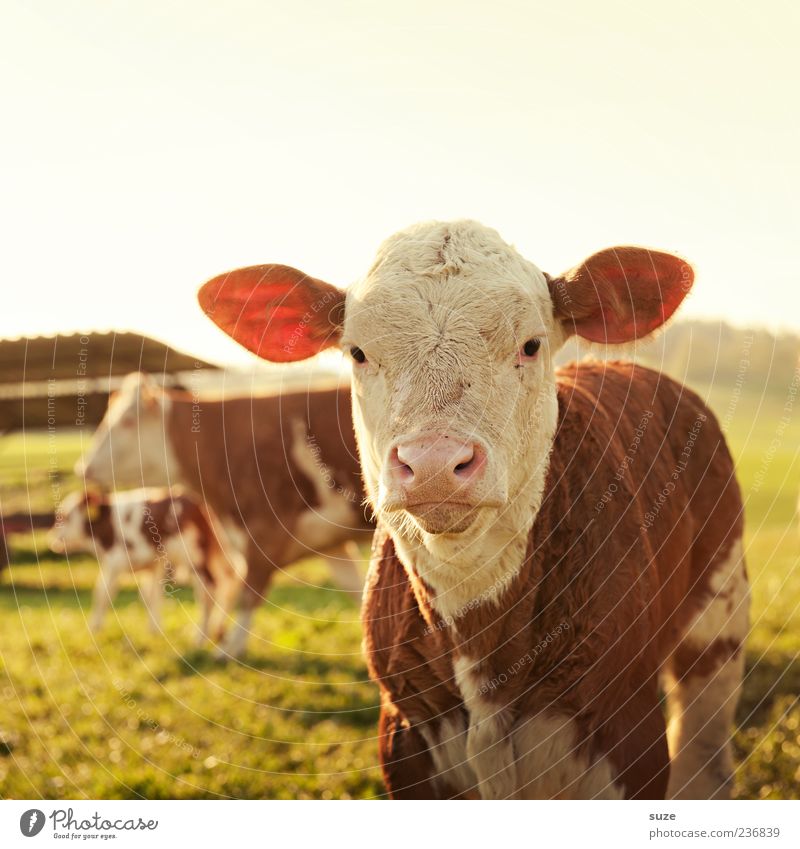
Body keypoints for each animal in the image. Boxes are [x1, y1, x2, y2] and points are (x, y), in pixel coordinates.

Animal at [49, 484, 244, 644]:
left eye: (66, 517)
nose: (53, 541)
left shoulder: (115, 562)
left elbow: (103, 593)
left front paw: (94, 628)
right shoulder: (153, 565)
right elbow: (150, 596)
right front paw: (155, 630)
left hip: (194, 554)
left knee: (208, 590)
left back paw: (200, 639)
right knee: (229, 583)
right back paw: (219, 631)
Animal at [76, 376, 374, 656]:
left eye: (126, 422)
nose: (83, 468)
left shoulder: (266, 530)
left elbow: (249, 592)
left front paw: (228, 649)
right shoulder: (330, 542)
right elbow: (355, 588)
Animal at [198, 220, 752, 800]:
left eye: (530, 345)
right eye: (358, 352)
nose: (434, 463)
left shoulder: (623, 730)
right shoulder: (405, 734)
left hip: (719, 625)